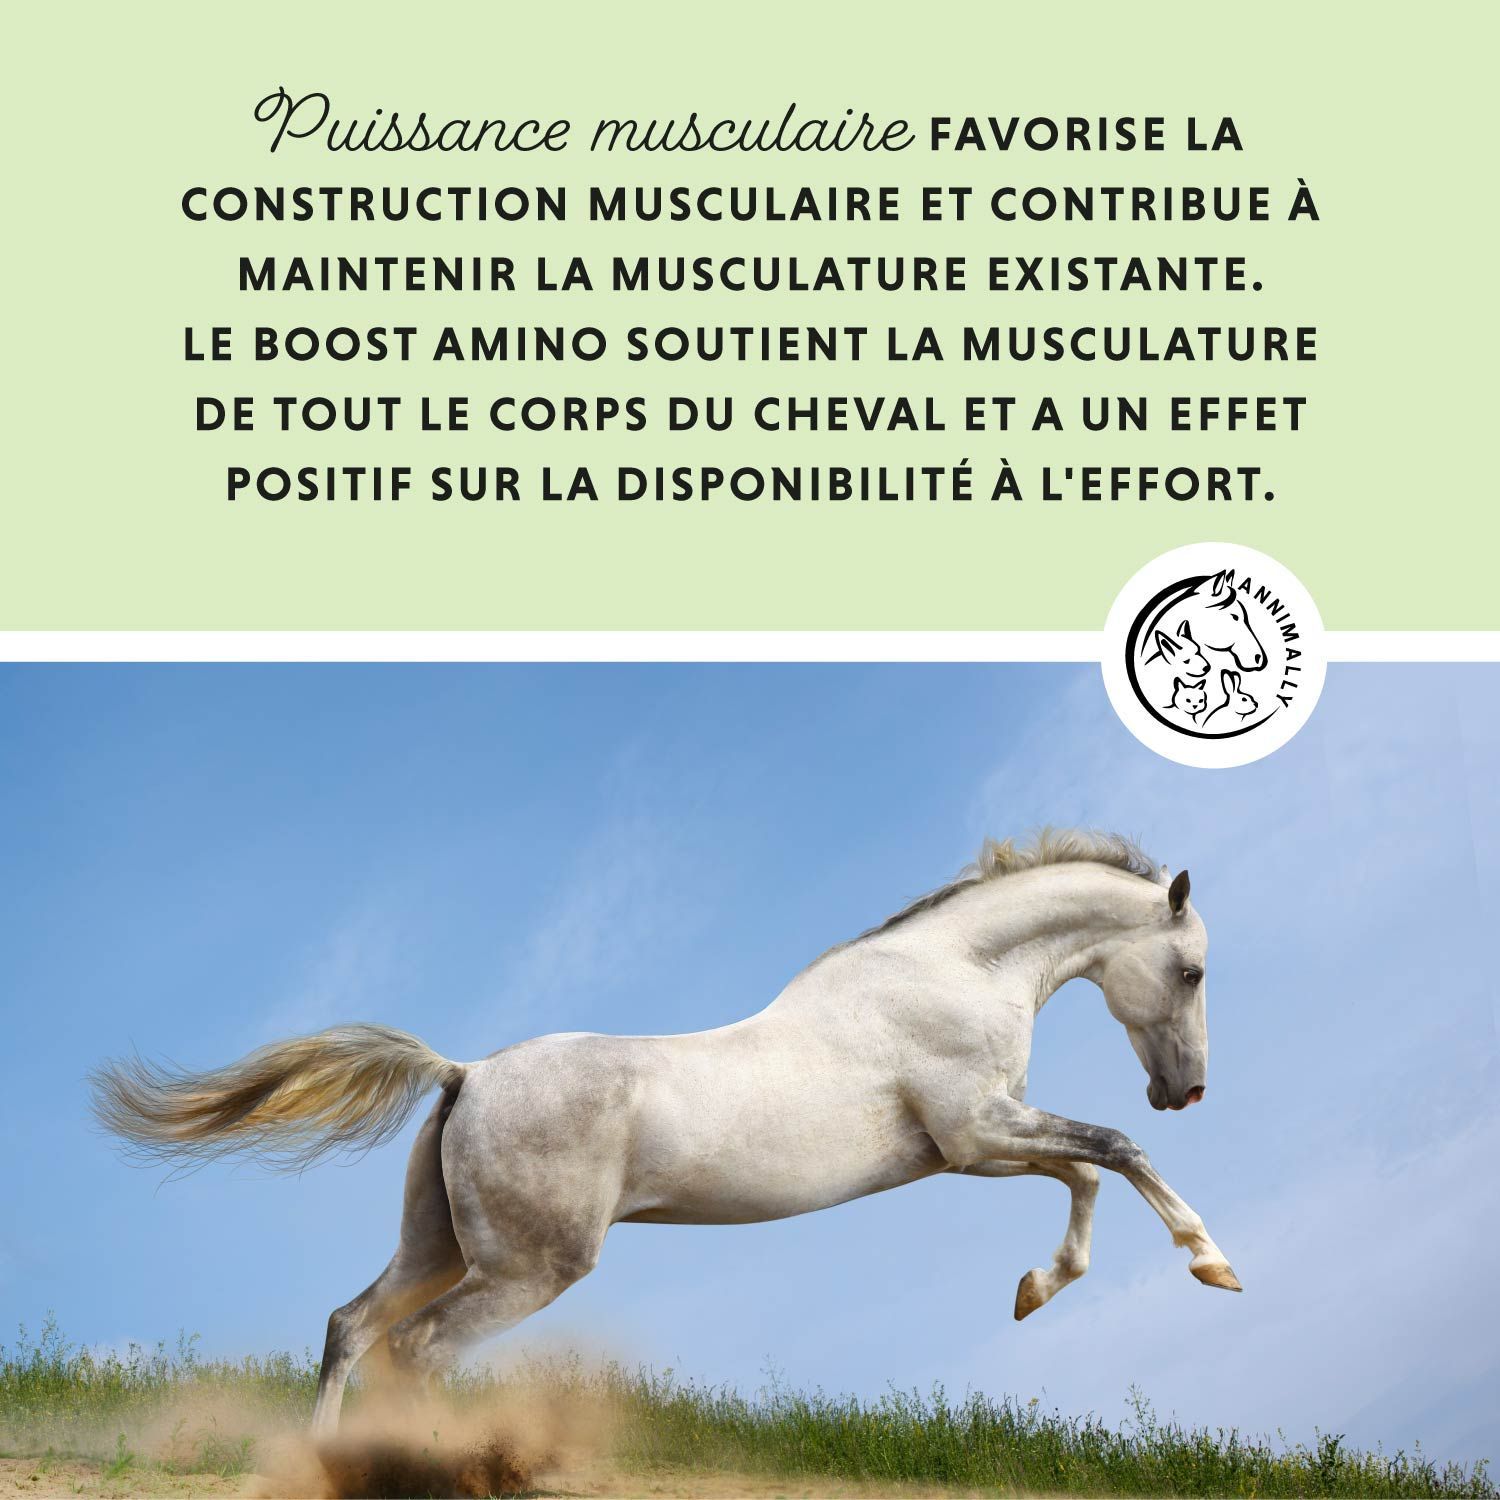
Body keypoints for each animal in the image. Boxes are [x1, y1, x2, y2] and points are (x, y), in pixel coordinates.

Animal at [90, 828, 1241, 1438]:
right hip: (527, 1269)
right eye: (1191, 971)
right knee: (416, 1350)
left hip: (440, 1247)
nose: (1185, 1091)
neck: (952, 975)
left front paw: (1034, 1290)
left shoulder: (975, 1148)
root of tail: (465, 1074)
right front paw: (1212, 1265)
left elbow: (1086, 1176)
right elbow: (1114, 1153)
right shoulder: (977, 1133)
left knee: (351, 1328)